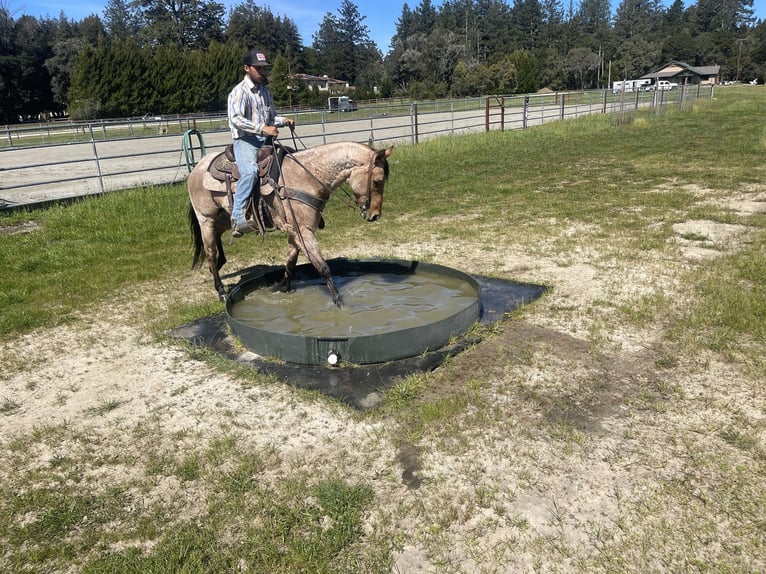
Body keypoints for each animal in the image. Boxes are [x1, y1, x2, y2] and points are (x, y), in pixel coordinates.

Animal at [188, 141, 396, 306]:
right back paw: (221, 291)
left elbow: (291, 260)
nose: (375, 216)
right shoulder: (303, 231)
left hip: (222, 219)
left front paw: (282, 288)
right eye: (377, 181)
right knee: (210, 254)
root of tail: (197, 167)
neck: (306, 178)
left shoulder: (295, 231)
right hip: (206, 220)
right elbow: (322, 267)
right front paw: (338, 302)